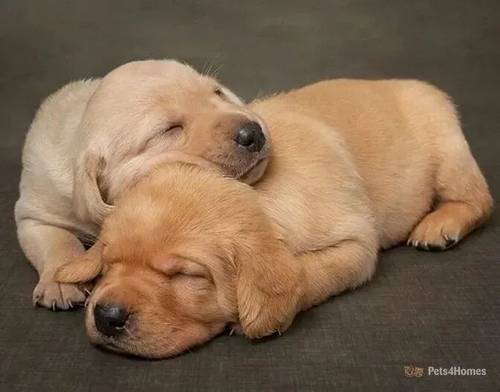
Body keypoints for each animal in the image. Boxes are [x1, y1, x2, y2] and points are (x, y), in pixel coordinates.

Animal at [14, 59, 270, 310]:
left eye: (218, 92)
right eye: (170, 129)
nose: (253, 133)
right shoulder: (37, 208)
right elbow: (57, 240)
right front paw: (61, 282)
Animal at [56, 79, 490, 358]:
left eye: (185, 275)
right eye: (109, 264)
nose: (107, 316)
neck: (259, 190)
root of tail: (416, 83)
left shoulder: (356, 246)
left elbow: (306, 273)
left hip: (448, 151)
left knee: (480, 199)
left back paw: (441, 225)